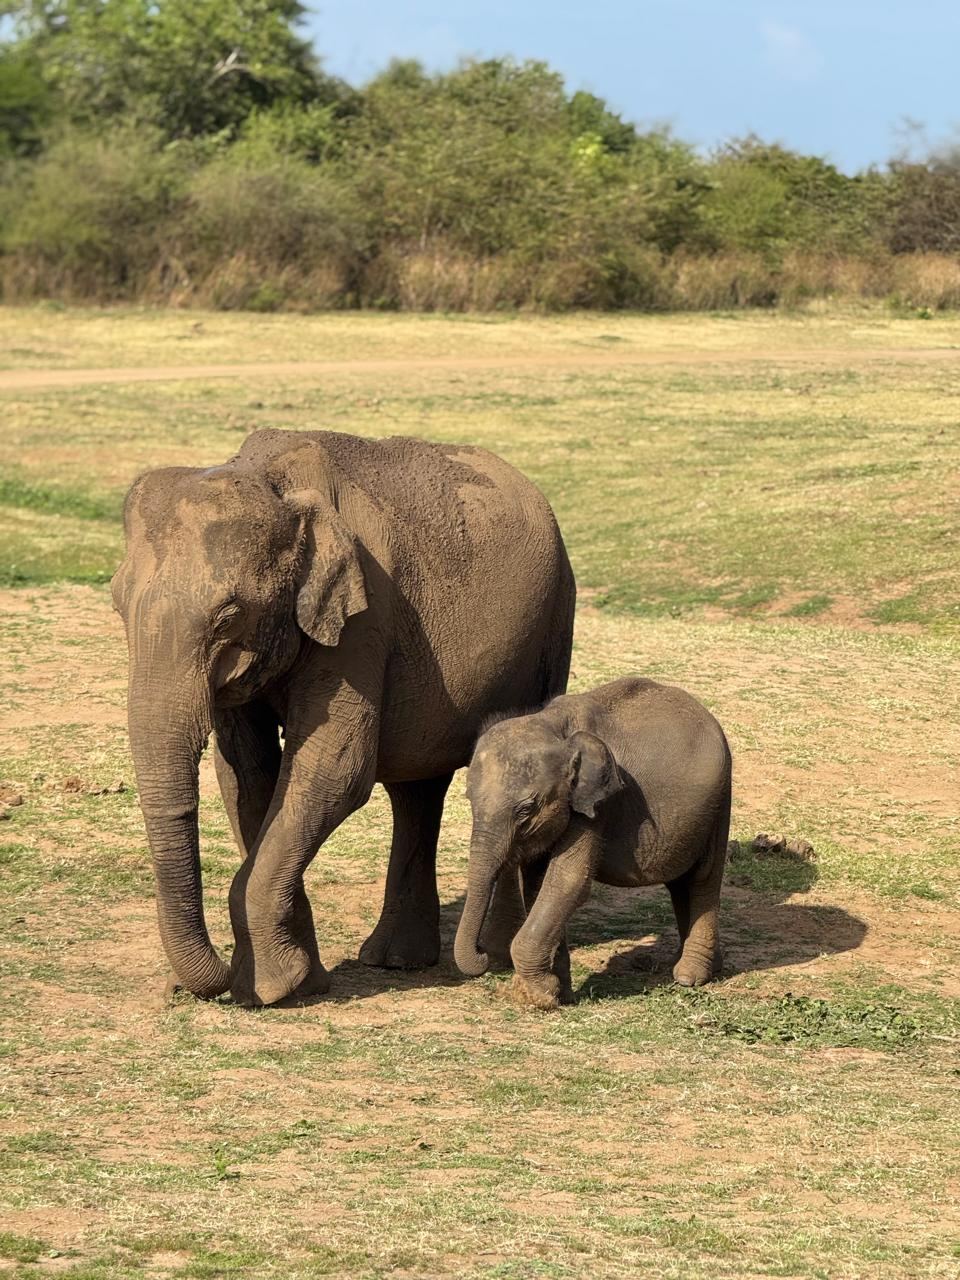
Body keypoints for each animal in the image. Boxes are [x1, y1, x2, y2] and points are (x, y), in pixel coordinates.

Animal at [111, 427, 575, 1006]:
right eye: (117, 605)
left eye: (228, 617)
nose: (182, 987)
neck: (271, 479)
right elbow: (245, 775)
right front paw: (294, 980)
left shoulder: (363, 618)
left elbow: (332, 770)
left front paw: (268, 989)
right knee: (417, 789)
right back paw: (397, 960)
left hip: (553, 626)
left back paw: (491, 955)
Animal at [454, 677, 731, 1009]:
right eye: (469, 799)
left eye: (526, 809)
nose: (483, 955)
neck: (552, 723)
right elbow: (538, 884)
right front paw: (559, 992)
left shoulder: (597, 806)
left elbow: (567, 881)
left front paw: (537, 995)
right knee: (680, 883)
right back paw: (695, 963)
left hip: (720, 801)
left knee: (703, 878)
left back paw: (690, 976)